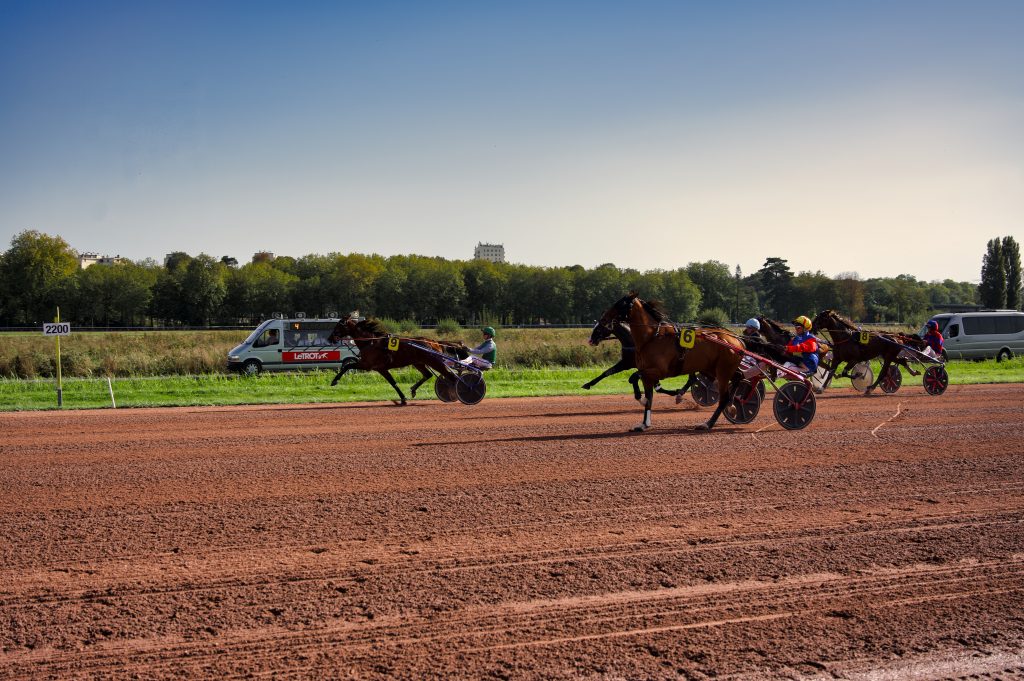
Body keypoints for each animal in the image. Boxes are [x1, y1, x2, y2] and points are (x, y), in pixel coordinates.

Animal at [325, 315, 466, 403]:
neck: (371, 342)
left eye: (338, 325)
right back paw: (414, 390)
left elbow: (347, 366)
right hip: (419, 362)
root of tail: (434, 342)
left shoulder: (368, 365)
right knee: (428, 375)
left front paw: (334, 381)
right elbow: (393, 383)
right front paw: (403, 398)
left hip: (435, 362)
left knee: (451, 377)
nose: (330, 338)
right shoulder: (380, 368)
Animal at [593, 292, 745, 430]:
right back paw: (732, 405)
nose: (603, 319)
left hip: (722, 371)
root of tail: (737, 340)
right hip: (712, 369)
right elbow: (649, 395)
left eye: (621, 305)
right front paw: (644, 423)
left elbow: (633, 377)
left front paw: (641, 398)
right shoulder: (646, 373)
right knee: (739, 376)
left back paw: (708, 423)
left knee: (724, 396)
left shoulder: (658, 371)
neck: (652, 338)